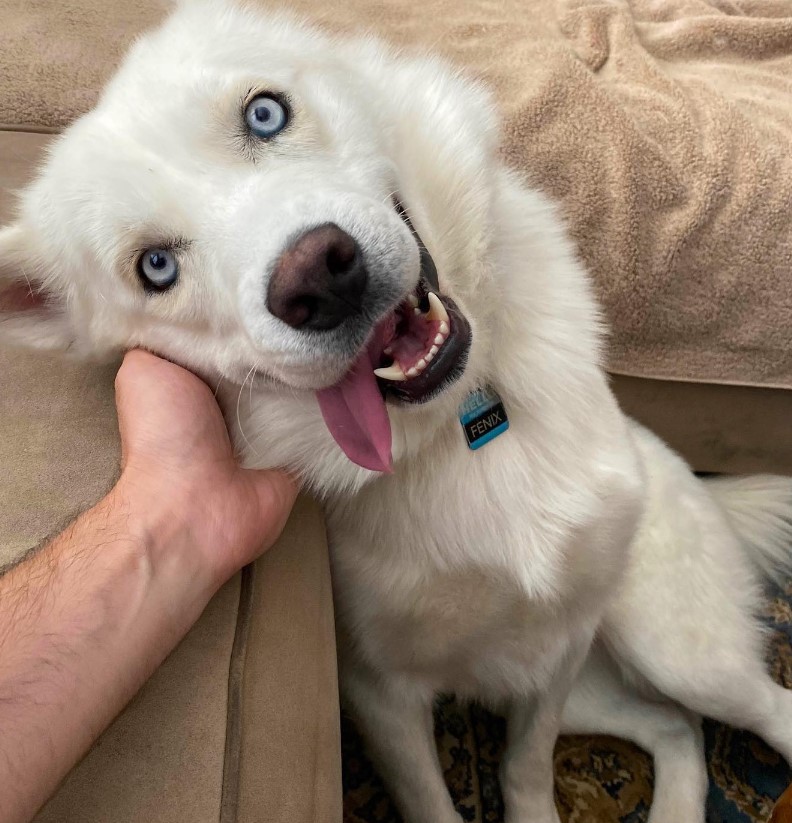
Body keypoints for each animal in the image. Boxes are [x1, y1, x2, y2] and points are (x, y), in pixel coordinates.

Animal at [1, 3, 792, 820]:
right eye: (155, 267)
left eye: (264, 113)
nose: (317, 278)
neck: (457, 428)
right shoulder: (382, 693)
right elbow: (447, 794)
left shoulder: (562, 640)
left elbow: (526, 766)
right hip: (596, 687)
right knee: (676, 729)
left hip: (670, 645)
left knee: (753, 708)